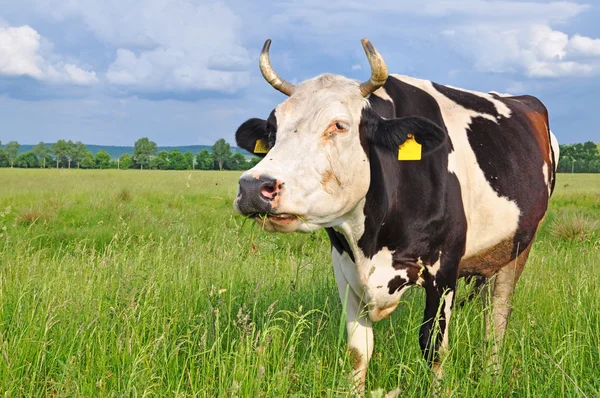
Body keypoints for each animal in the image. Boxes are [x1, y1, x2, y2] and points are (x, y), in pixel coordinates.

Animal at [232, 38, 556, 394]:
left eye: (339, 125)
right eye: (272, 130)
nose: (253, 186)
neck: (373, 240)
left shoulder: (445, 269)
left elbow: (433, 346)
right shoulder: (344, 268)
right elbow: (357, 350)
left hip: (520, 245)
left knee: (497, 314)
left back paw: (493, 374)